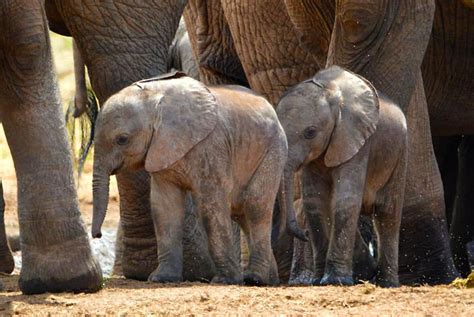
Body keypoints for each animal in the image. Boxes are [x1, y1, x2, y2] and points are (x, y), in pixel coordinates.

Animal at [90, 73, 304, 286]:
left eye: (122, 139)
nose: (97, 235)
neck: (155, 99)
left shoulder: (211, 145)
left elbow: (211, 206)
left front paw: (224, 280)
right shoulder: (161, 151)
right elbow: (164, 209)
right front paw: (161, 278)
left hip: (273, 151)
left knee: (254, 207)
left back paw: (255, 279)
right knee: (241, 213)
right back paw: (270, 281)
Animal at [278, 65, 408, 286]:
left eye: (310, 132)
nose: (304, 234)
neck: (330, 92)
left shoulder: (358, 142)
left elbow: (345, 199)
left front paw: (335, 281)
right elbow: (314, 202)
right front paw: (317, 281)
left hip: (399, 154)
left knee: (388, 215)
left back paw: (387, 283)